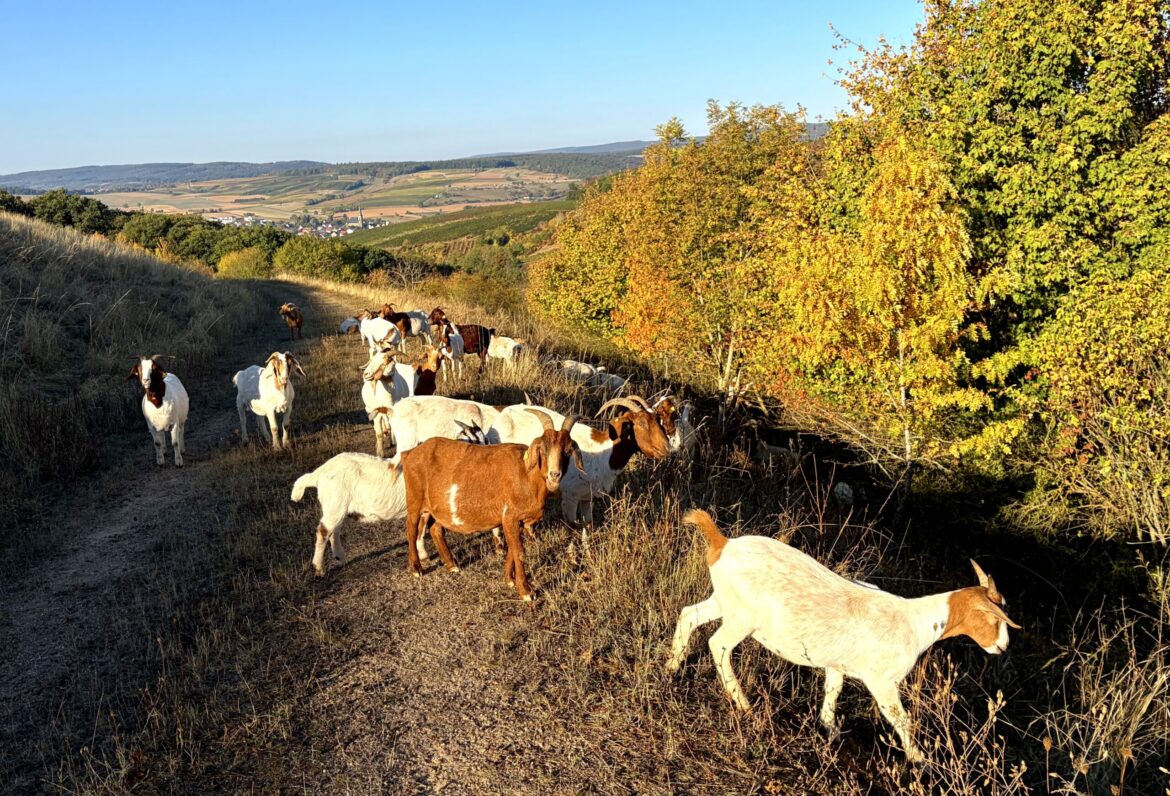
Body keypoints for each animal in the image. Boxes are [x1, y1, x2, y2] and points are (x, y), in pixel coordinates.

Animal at [290, 421, 487, 576]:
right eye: (474, 442)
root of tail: (318, 473)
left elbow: (421, 529)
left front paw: (423, 556)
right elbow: (421, 529)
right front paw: (423, 559)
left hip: (337, 507)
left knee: (334, 530)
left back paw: (340, 558)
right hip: (335, 504)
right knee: (323, 531)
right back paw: (319, 568)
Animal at [398, 409, 583, 600]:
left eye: (568, 451)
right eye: (543, 450)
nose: (555, 474)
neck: (526, 472)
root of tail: (409, 453)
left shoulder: (518, 521)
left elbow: (512, 551)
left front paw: (509, 580)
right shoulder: (509, 517)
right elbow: (519, 552)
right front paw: (526, 591)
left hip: (437, 506)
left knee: (435, 529)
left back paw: (451, 565)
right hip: (414, 499)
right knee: (411, 528)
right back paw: (416, 569)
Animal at [487, 395, 671, 525]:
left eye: (658, 420)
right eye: (641, 423)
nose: (666, 448)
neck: (603, 455)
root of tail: (501, 416)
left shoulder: (587, 498)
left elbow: (588, 524)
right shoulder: (570, 497)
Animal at [665, 509, 1021, 763]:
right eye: (994, 617)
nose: (1002, 646)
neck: (916, 622)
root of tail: (723, 544)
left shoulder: (837, 665)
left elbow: (832, 692)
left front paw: (830, 729)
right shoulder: (882, 681)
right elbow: (901, 720)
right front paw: (920, 760)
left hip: (724, 601)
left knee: (689, 615)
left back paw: (672, 667)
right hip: (743, 616)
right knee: (718, 645)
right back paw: (744, 704)